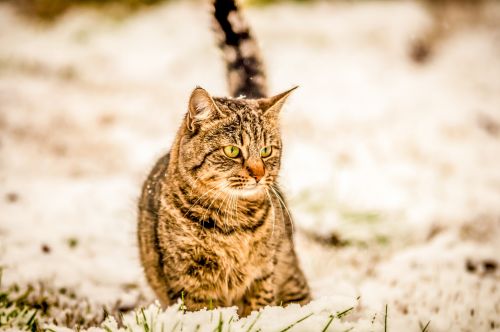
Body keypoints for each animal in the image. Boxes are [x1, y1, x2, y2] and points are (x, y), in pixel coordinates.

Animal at [137, 0, 308, 316]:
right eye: (232, 151)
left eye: (266, 151)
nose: (258, 173)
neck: (234, 224)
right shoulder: (190, 284)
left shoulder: (262, 275)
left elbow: (256, 310)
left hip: (290, 273)